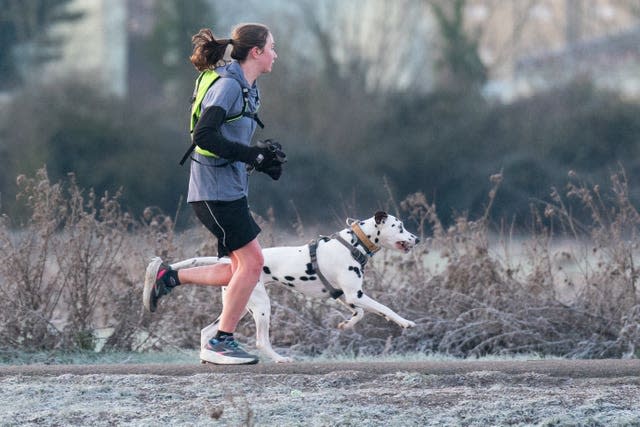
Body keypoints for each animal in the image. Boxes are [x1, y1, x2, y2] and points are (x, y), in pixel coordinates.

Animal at [168, 212, 420, 362]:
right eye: (399, 226)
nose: (417, 239)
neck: (353, 243)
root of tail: (230, 263)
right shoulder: (355, 294)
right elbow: (385, 308)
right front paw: (405, 322)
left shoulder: (344, 296)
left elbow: (360, 314)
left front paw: (346, 325)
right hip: (261, 307)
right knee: (261, 341)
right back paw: (279, 358)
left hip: (239, 308)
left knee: (208, 330)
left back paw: (209, 357)